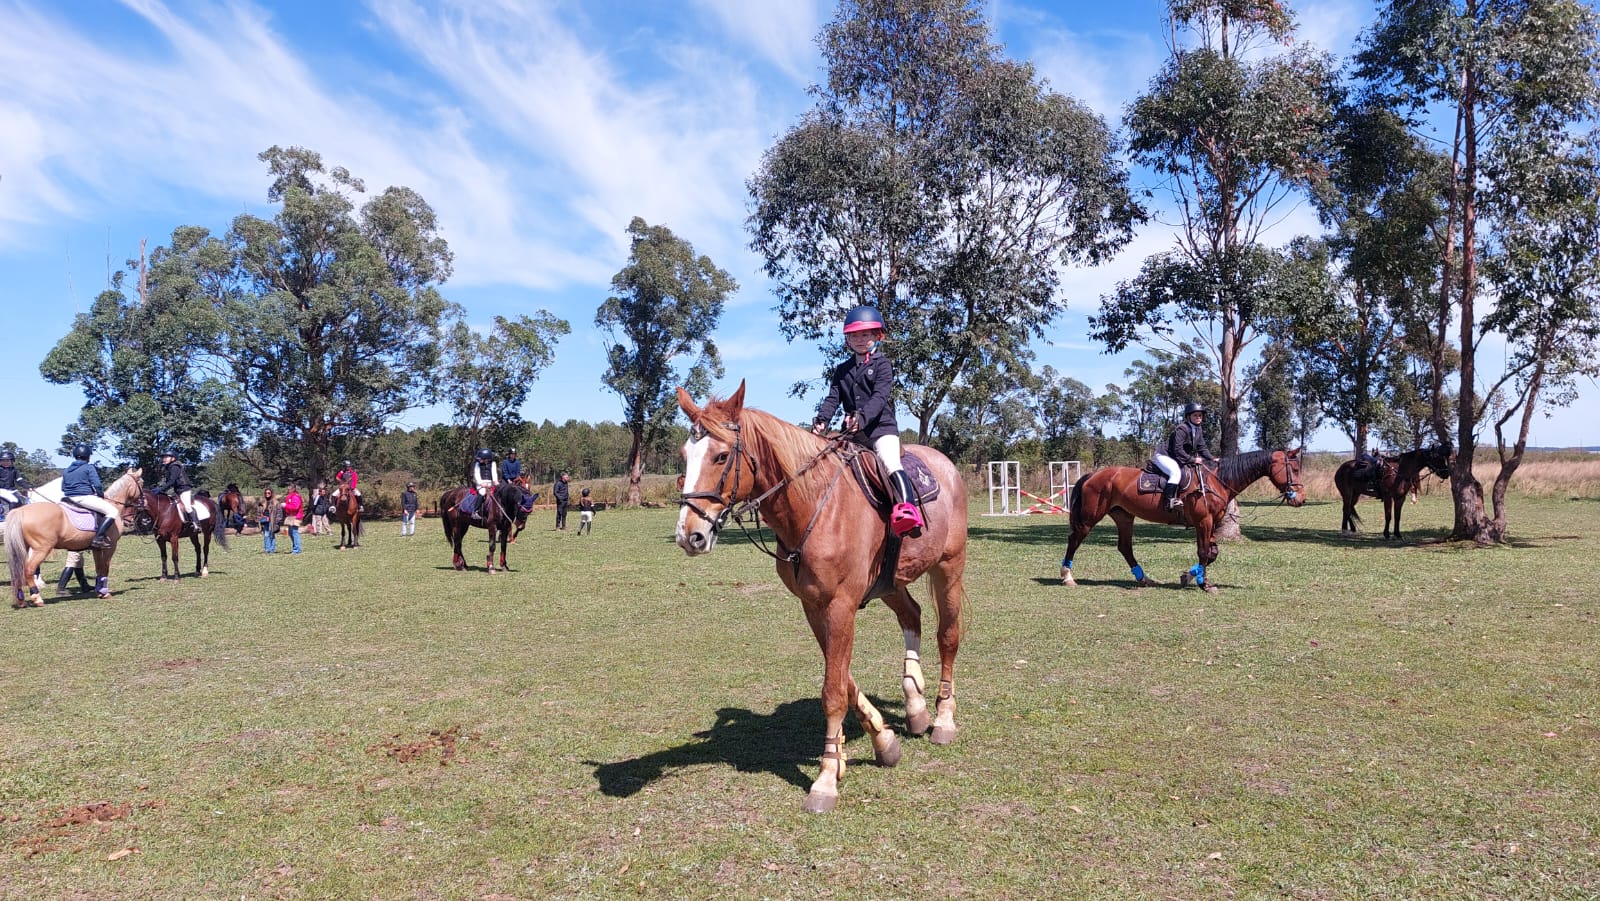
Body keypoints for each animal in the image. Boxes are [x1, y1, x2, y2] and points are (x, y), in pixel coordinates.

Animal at [4, 470, 143, 611]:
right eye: (141, 483)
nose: (130, 521)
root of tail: (21, 510)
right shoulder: (110, 547)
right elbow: (105, 568)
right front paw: (104, 592)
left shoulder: (97, 549)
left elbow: (99, 568)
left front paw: (99, 591)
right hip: (41, 549)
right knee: (29, 570)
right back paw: (37, 598)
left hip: (25, 548)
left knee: (18, 571)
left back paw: (21, 601)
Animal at [672, 382, 966, 819]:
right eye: (684, 455)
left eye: (721, 456)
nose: (688, 535)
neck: (813, 505)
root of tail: (945, 464)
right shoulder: (813, 606)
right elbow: (842, 678)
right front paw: (881, 744)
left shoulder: (841, 605)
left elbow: (833, 690)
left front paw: (826, 778)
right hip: (891, 583)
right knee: (911, 616)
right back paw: (914, 708)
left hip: (949, 568)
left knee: (948, 635)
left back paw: (943, 721)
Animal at [1056, 448, 1305, 592]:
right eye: (1293, 468)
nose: (1301, 498)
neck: (1217, 480)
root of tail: (1093, 475)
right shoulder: (1203, 522)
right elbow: (1204, 553)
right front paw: (1203, 584)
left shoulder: (1211, 523)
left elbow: (1212, 553)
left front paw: (1189, 576)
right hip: (1090, 518)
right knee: (1074, 540)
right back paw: (1067, 577)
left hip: (1124, 516)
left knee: (1125, 547)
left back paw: (1144, 579)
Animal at [1331, 441, 1459, 540]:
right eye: (1436, 457)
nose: (1446, 473)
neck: (1399, 473)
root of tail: (1341, 468)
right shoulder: (1388, 497)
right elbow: (1388, 515)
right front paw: (1386, 534)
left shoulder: (1400, 498)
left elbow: (1397, 516)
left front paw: (1397, 534)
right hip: (1347, 494)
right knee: (1346, 509)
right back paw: (1344, 530)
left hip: (1356, 494)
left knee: (1349, 509)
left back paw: (1352, 529)